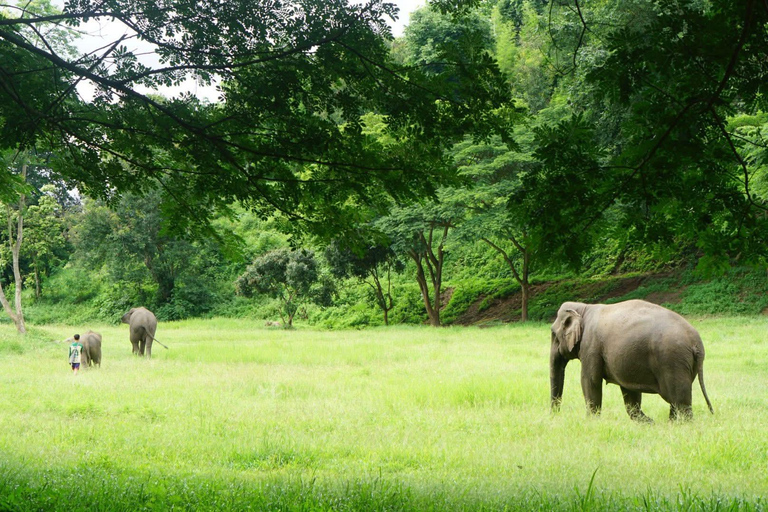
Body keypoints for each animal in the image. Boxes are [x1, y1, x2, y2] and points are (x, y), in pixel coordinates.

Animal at [550, 299, 714, 422]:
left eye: (553, 334)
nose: (555, 415)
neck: (584, 308)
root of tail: (696, 342)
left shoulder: (590, 347)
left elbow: (589, 380)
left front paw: (591, 421)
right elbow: (628, 390)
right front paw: (648, 422)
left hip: (672, 360)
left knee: (679, 399)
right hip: (686, 364)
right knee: (676, 399)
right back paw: (671, 423)